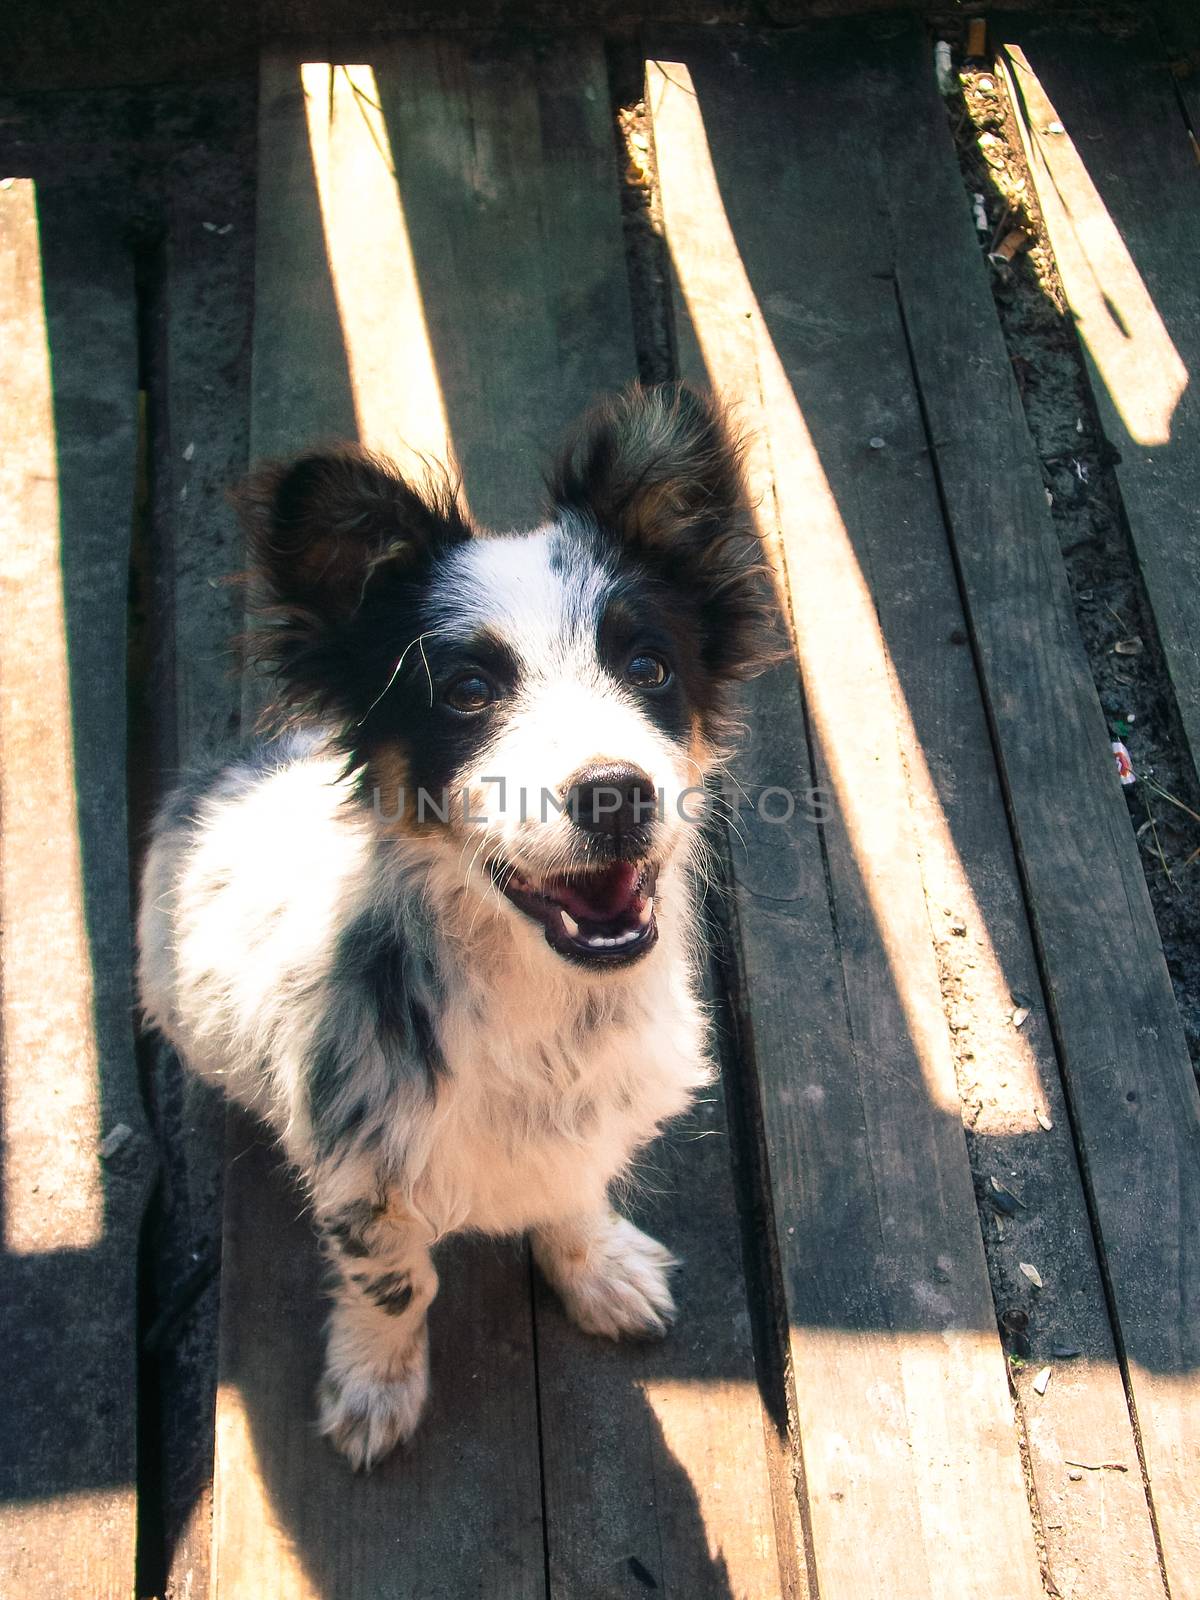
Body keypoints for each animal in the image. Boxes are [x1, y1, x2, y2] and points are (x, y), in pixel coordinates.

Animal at [133, 380, 771, 1465]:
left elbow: (571, 1190)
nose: (614, 794)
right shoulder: (360, 1170)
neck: (547, 1012)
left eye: (649, 667)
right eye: (468, 691)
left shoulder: (586, 1123)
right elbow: (396, 1282)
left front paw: (598, 1270)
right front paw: (375, 1387)